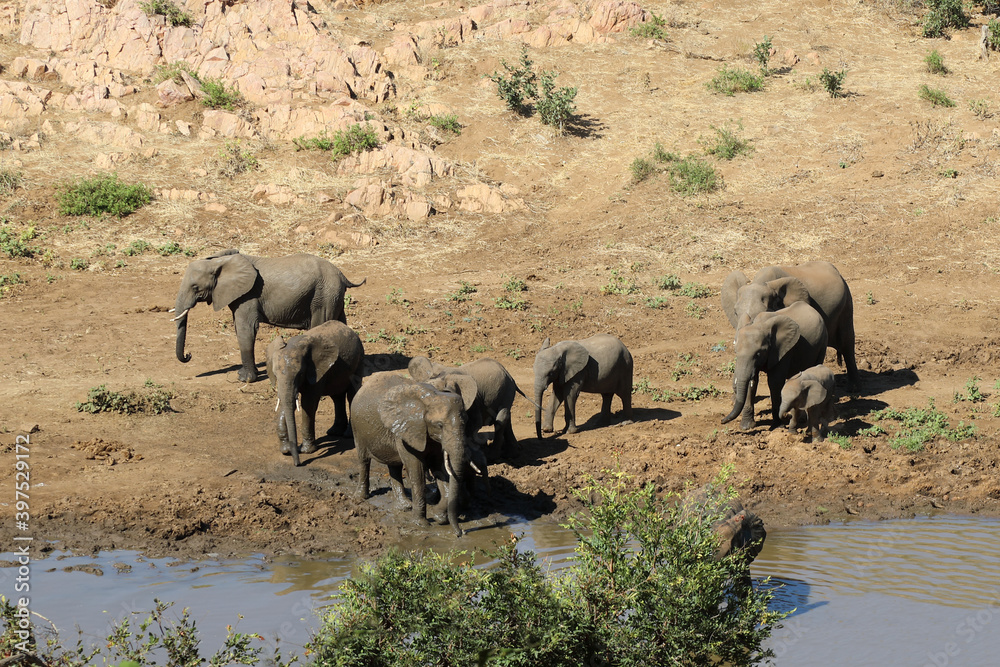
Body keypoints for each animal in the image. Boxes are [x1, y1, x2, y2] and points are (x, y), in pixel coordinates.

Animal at [172, 250, 364, 383]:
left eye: (195, 287)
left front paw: (245, 379)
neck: (220, 262)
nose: (189, 355)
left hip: (323, 297)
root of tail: (342, 275)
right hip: (333, 297)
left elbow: (246, 329)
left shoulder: (249, 295)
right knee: (341, 324)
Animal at [265, 321, 364, 466]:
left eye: (300, 374)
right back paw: (334, 432)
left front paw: (306, 451)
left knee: (351, 394)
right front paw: (286, 450)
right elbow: (287, 403)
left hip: (359, 358)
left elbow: (308, 404)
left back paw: (347, 435)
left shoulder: (317, 371)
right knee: (337, 396)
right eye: (275, 375)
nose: (298, 464)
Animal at [351, 372, 486, 537]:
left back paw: (405, 506)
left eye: (465, 422)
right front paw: (422, 524)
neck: (431, 396)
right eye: (439, 425)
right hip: (356, 427)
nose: (461, 533)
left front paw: (439, 518)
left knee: (394, 466)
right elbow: (417, 473)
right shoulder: (409, 430)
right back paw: (361, 497)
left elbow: (440, 471)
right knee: (364, 460)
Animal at [721, 301, 828, 431]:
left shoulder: (783, 350)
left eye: (758, 353)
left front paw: (777, 426)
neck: (760, 324)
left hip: (823, 342)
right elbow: (752, 383)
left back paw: (802, 419)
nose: (722, 421)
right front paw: (746, 426)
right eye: (735, 351)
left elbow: (775, 382)